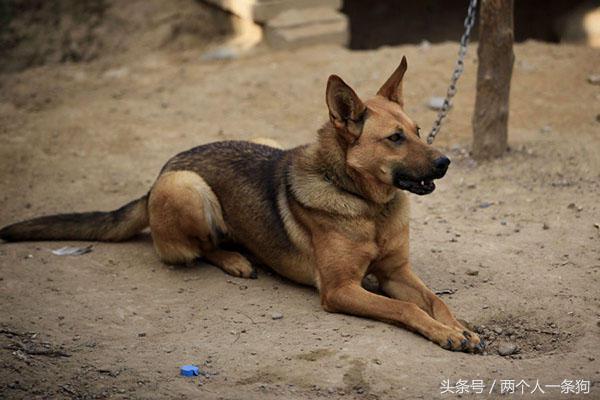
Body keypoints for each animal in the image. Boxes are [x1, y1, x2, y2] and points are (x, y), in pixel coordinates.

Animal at [0, 57, 486, 354]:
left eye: (419, 130)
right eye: (395, 138)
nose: (444, 163)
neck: (366, 205)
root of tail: (163, 169)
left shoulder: (396, 273)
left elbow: (435, 301)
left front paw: (460, 328)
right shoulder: (341, 289)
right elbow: (406, 309)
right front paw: (445, 333)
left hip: (256, 145)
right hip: (187, 188)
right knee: (198, 248)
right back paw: (235, 258)